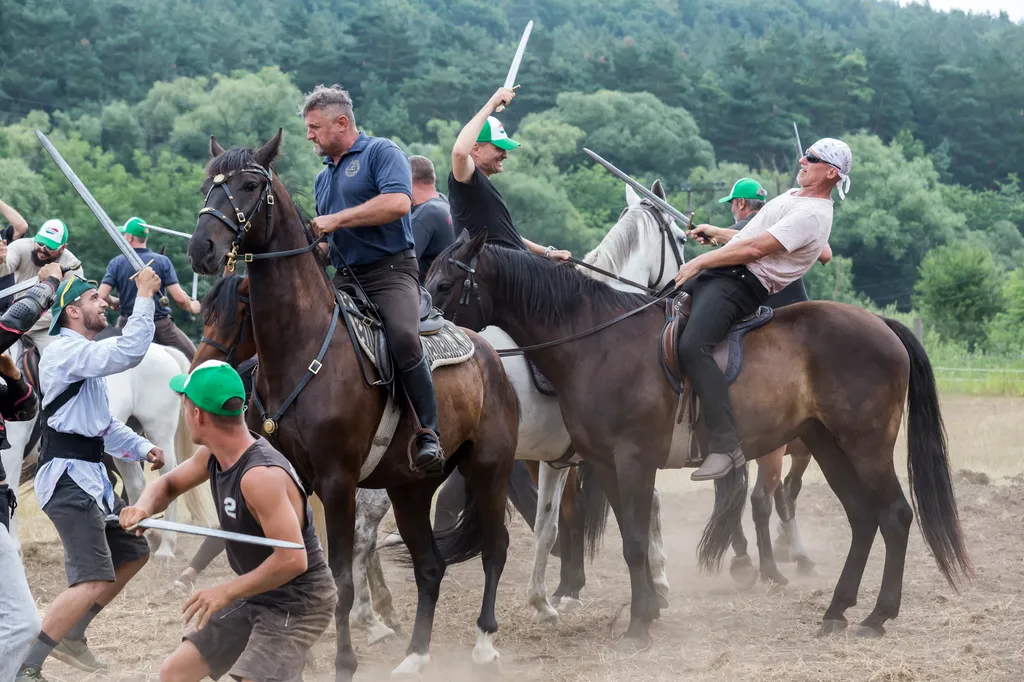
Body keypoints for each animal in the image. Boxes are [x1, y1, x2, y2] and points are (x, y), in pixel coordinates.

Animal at [3, 339, 206, 557]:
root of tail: (161, 349)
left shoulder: (12, 452)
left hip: (159, 434)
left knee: (168, 476)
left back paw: (166, 547)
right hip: (126, 443)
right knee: (136, 483)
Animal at [187, 130, 520, 675]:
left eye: (249, 184)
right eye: (206, 184)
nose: (202, 248)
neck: (301, 348)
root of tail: (491, 354)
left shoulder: (337, 482)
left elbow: (341, 578)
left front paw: (344, 661)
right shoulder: (291, 480)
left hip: (488, 468)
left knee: (495, 549)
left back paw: (485, 643)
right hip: (410, 489)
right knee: (430, 568)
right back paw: (416, 655)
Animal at [428, 229, 970, 647]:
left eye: (447, 282)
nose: (424, 335)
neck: (598, 340)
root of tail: (880, 324)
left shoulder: (632, 460)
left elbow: (635, 539)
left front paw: (638, 628)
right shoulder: (601, 462)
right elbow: (626, 536)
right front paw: (645, 611)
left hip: (864, 445)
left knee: (894, 516)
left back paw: (876, 616)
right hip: (827, 445)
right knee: (862, 517)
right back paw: (837, 609)